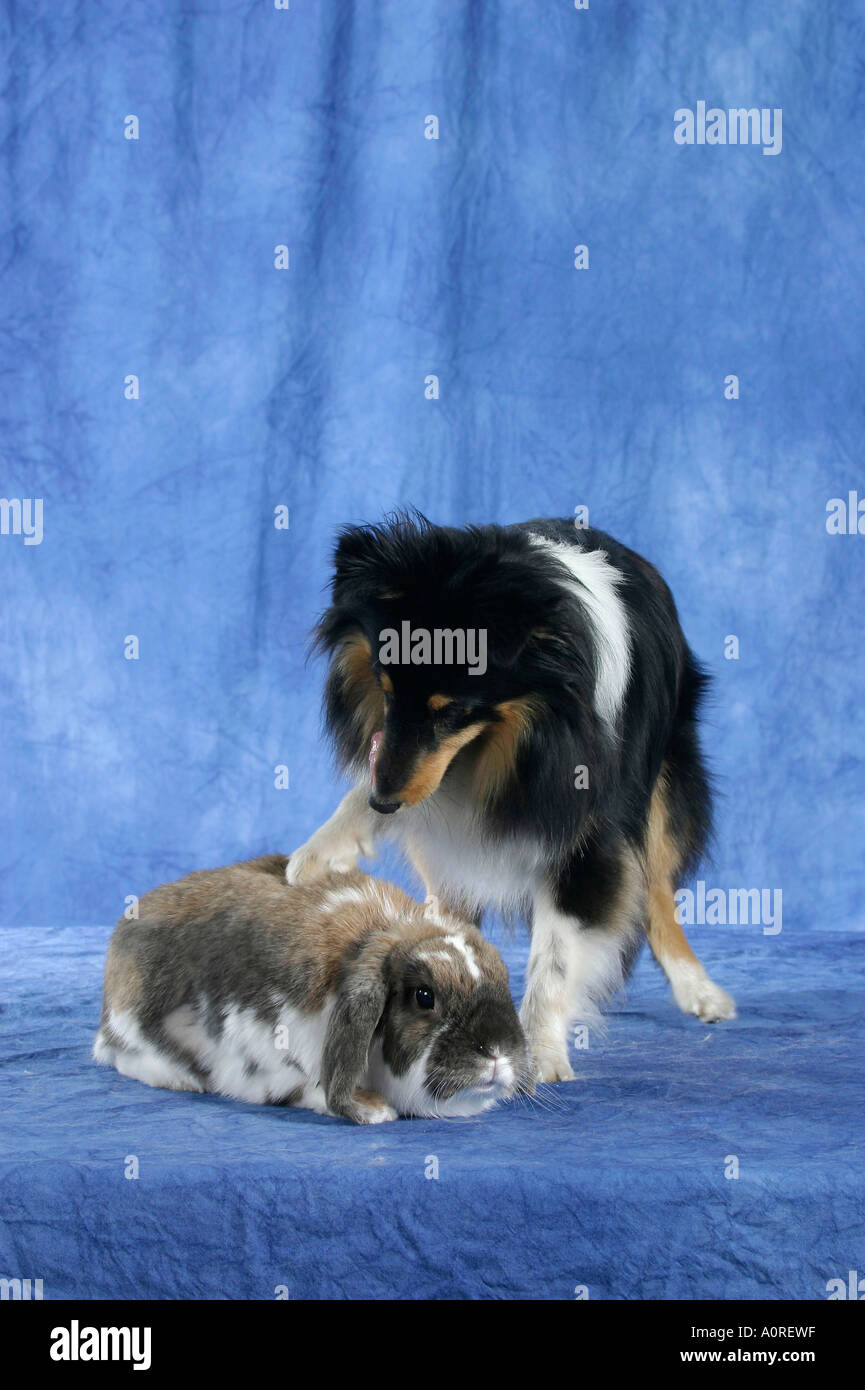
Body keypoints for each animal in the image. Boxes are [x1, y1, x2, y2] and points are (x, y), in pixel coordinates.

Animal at [93, 854, 533, 1123]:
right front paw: (376, 1110)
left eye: (502, 979)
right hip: (136, 1025)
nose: (498, 1050)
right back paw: (181, 1080)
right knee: (124, 1057)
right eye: (425, 996)